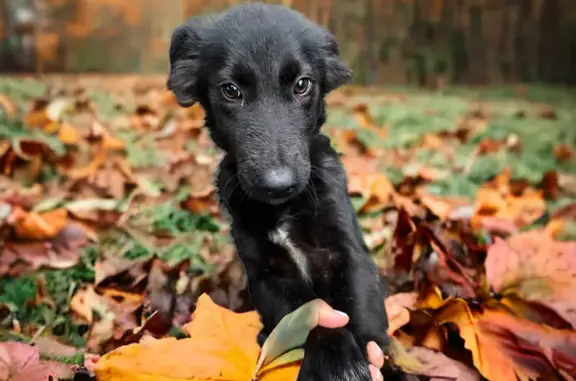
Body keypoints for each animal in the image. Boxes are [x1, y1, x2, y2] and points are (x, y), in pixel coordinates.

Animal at [169, 2, 390, 378]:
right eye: (230, 90)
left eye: (302, 85)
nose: (278, 183)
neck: (285, 208)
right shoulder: (266, 275)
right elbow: (312, 311)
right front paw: (336, 359)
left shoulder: (349, 252)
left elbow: (357, 315)